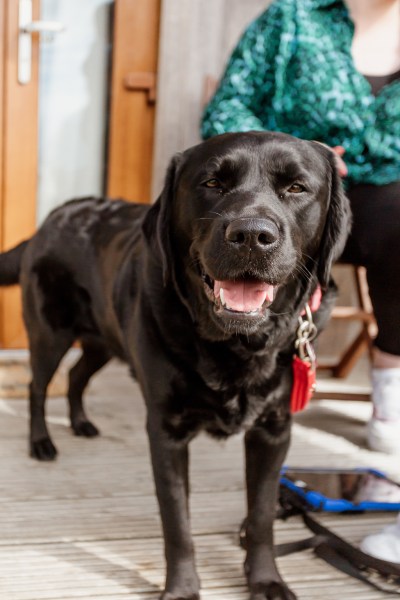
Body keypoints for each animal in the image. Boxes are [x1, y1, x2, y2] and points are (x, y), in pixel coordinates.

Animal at [0, 132, 350, 600]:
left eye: (296, 187)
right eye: (212, 183)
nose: (251, 235)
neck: (235, 345)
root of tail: (55, 216)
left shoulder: (275, 430)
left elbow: (260, 516)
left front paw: (266, 580)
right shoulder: (166, 431)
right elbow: (177, 523)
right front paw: (182, 588)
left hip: (104, 340)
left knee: (76, 376)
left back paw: (81, 422)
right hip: (49, 334)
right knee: (39, 385)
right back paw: (41, 442)